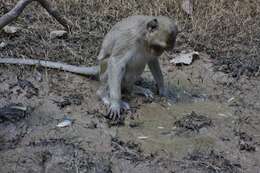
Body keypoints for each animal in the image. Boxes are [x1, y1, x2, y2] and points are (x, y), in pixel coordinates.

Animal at [0, 15, 178, 121]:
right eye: (159, 47)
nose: (159, 52)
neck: (144, 37)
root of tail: (97, 68)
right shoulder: (129, 40)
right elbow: (116, 63)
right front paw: (115, 103)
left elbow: (152, 61)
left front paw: (163, 89)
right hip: (104, 70)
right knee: (116, 67)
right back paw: (104, 95)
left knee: (139, 63)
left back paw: (133, 89)